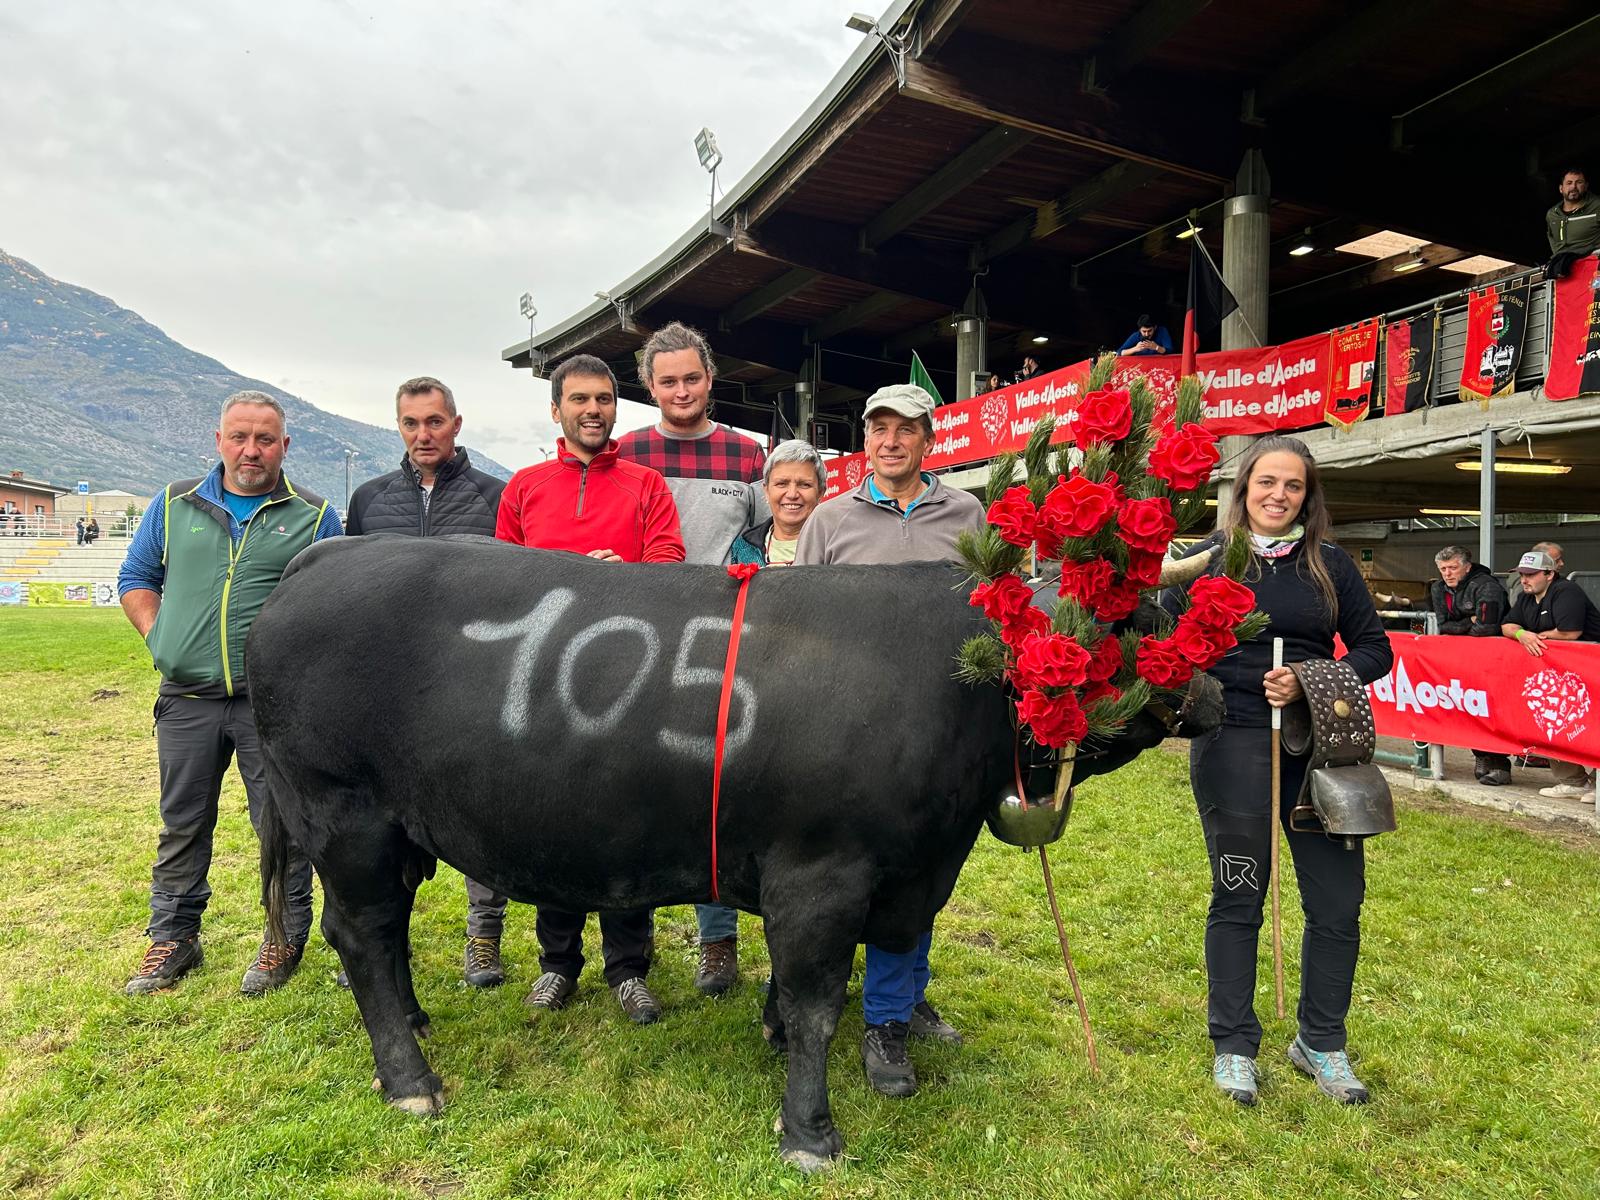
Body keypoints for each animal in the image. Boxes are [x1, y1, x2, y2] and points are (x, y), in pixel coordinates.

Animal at [249, 537, 1216, 1177]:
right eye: (1135, 625)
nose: (1211, 693)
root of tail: (328, 554)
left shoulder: (883, 877)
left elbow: (805, 992)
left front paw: (774, 1032)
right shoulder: (824, 872)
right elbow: (823, 999)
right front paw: (810, 1132)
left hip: (394, 831)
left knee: (386, 934)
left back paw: (414, 1024)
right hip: (343, 811)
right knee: (362, 932)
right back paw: (411, 1081)